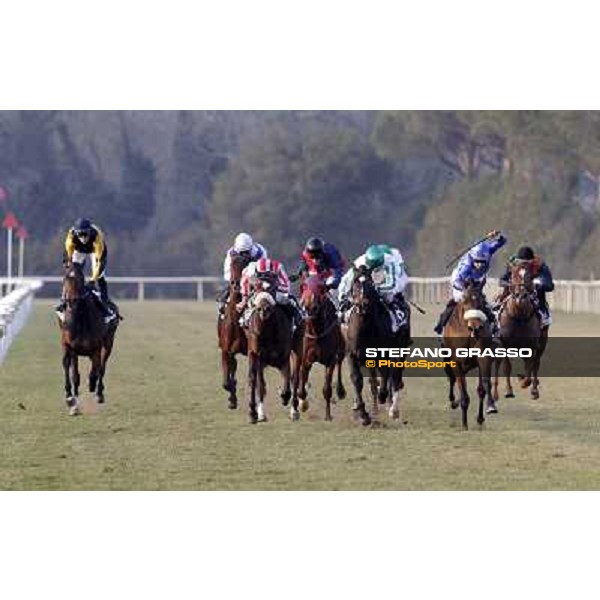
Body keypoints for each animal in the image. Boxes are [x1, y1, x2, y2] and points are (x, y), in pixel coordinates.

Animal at [59, 264, 119, 414]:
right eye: (65, 278)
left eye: (80, 278)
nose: (71, 301)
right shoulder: (69, 346)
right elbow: (71, 372)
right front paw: (70, 398)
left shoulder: (96, 348)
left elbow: (96, 370)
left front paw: (92, 385)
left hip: (108, 344)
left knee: (102, 367)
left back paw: (98, 392)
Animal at [245, 272, 298, 422]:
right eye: (255, 288)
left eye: (273, 288)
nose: (264, 309)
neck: (268, 328)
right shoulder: (257, 354)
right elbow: (258, 383)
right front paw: (255, 413)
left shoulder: (284, 356)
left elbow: (288, 382)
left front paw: (284, 396)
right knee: (256, 381)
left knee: (295, 378)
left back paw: (294, 410)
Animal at [296, 274, 346, 420]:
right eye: (304, 286)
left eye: (321, 287)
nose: (310, 306)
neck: (317, 331)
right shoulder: (306, 359)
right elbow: (301, 389)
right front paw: (303, 403)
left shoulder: (330, 360)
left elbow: (327, 389)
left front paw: (328, 415)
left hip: (341, 349)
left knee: (340, 362)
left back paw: (340, 391)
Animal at [440, 282, 496, 432]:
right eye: (464, 301)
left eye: (481, 300)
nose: (475, 327)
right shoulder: (457, 363)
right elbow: (463, 393)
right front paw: (464, 424)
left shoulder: (484, 358)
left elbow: (483, 387)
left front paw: (488, 410)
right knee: (452, 379)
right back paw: (453, 401)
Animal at [492, 260, 548, 400]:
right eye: (514, 275)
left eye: (529, 276)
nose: (521, 295)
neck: (519, 315)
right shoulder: (504, 344)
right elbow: (507, 367)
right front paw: (509, 390)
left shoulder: (532, 345)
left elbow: (530, 367)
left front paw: (526, 383)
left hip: (541, 343)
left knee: (535, 364)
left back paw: (533, 389)